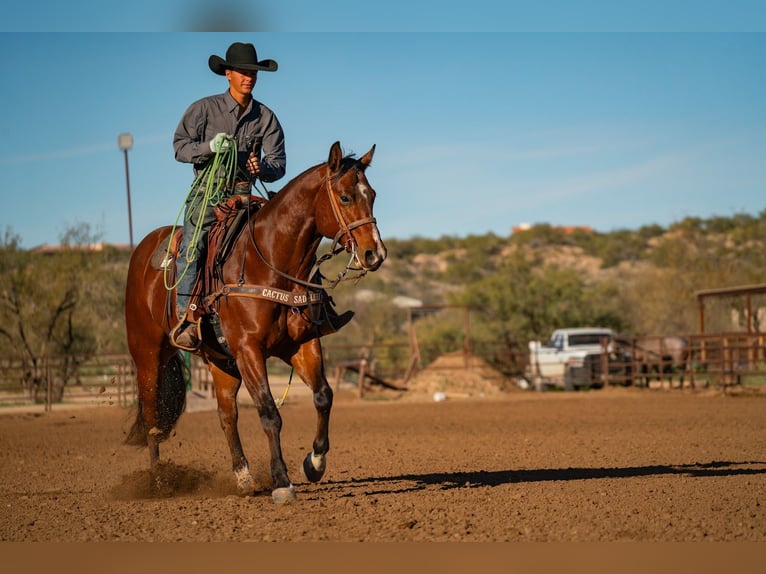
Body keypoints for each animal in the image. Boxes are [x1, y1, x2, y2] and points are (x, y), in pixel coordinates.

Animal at [124, 141, 387, 503]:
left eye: (371, 195)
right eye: (345, 197)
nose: (375, 253)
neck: (271, 263)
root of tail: (143, 251)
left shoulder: (301, 345)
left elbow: (323, 396)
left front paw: (314, 463)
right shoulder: (249, 350)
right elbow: (269, 413)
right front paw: (282, 482)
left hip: (220, 361)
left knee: (226, 415)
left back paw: (243, 476)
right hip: (147, 355)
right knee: (152, 417)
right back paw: (159, 482)